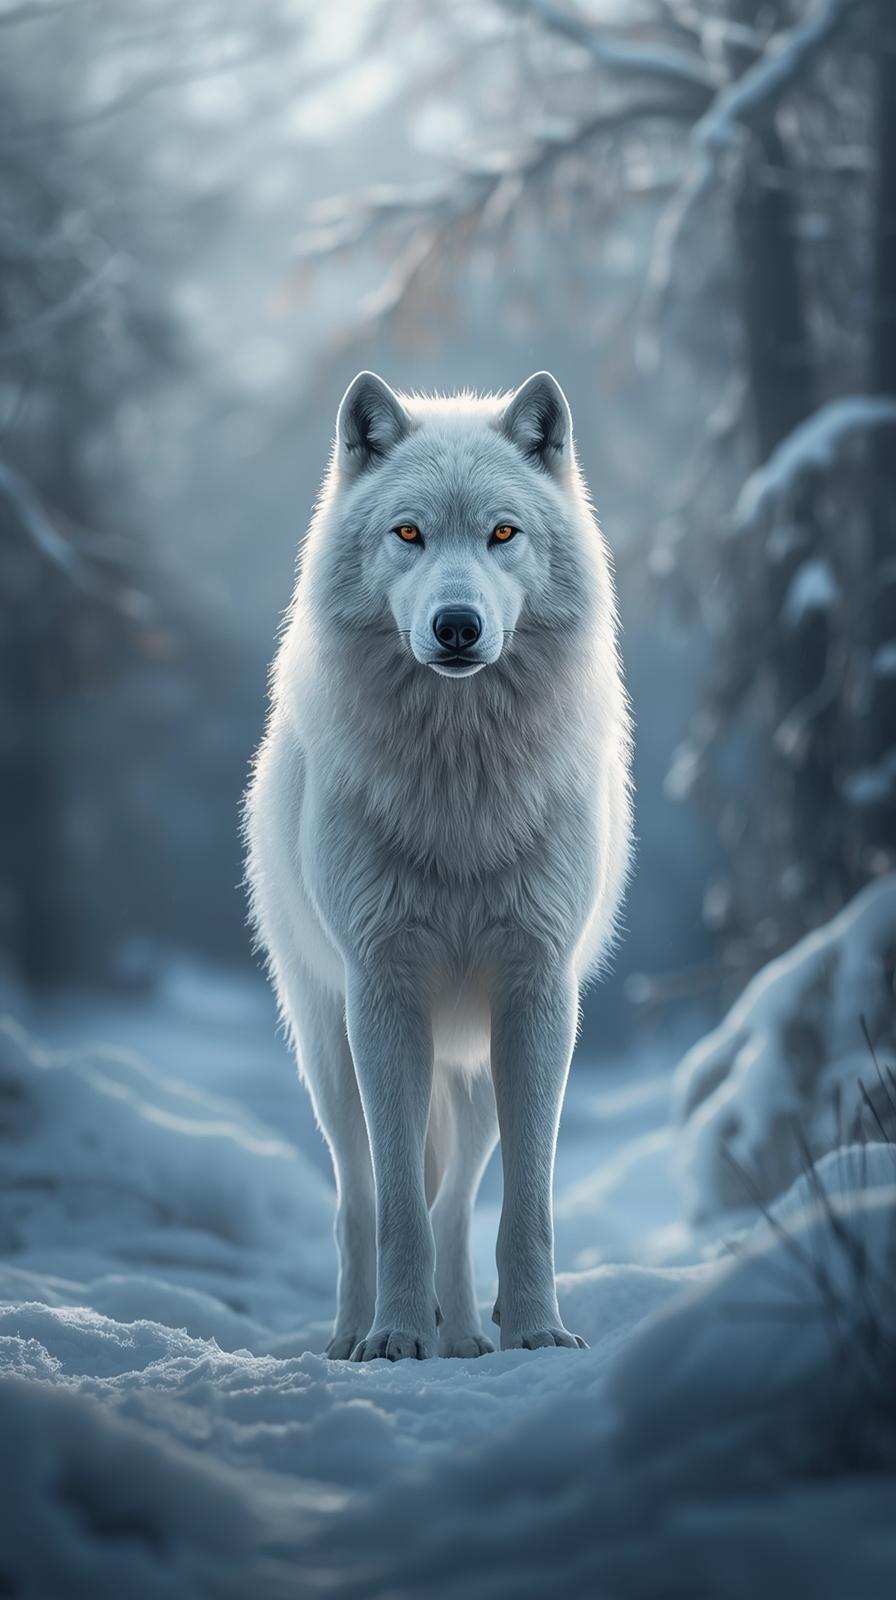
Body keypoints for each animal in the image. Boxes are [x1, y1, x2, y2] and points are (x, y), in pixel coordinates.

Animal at [244, 370, 633, 1360]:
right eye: (409, 533)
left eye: (503, 533)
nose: (457, 626)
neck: (460, 788)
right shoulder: (383, 991)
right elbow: (394, 1206)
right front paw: (393, 1339)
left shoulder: (538, 995)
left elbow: (526, 1203)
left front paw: (536, 1330)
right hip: (330, 1049)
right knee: (358, 1197)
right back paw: (354, 1335)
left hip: (477, 1067)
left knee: (458, 1203)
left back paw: (463, 1336)